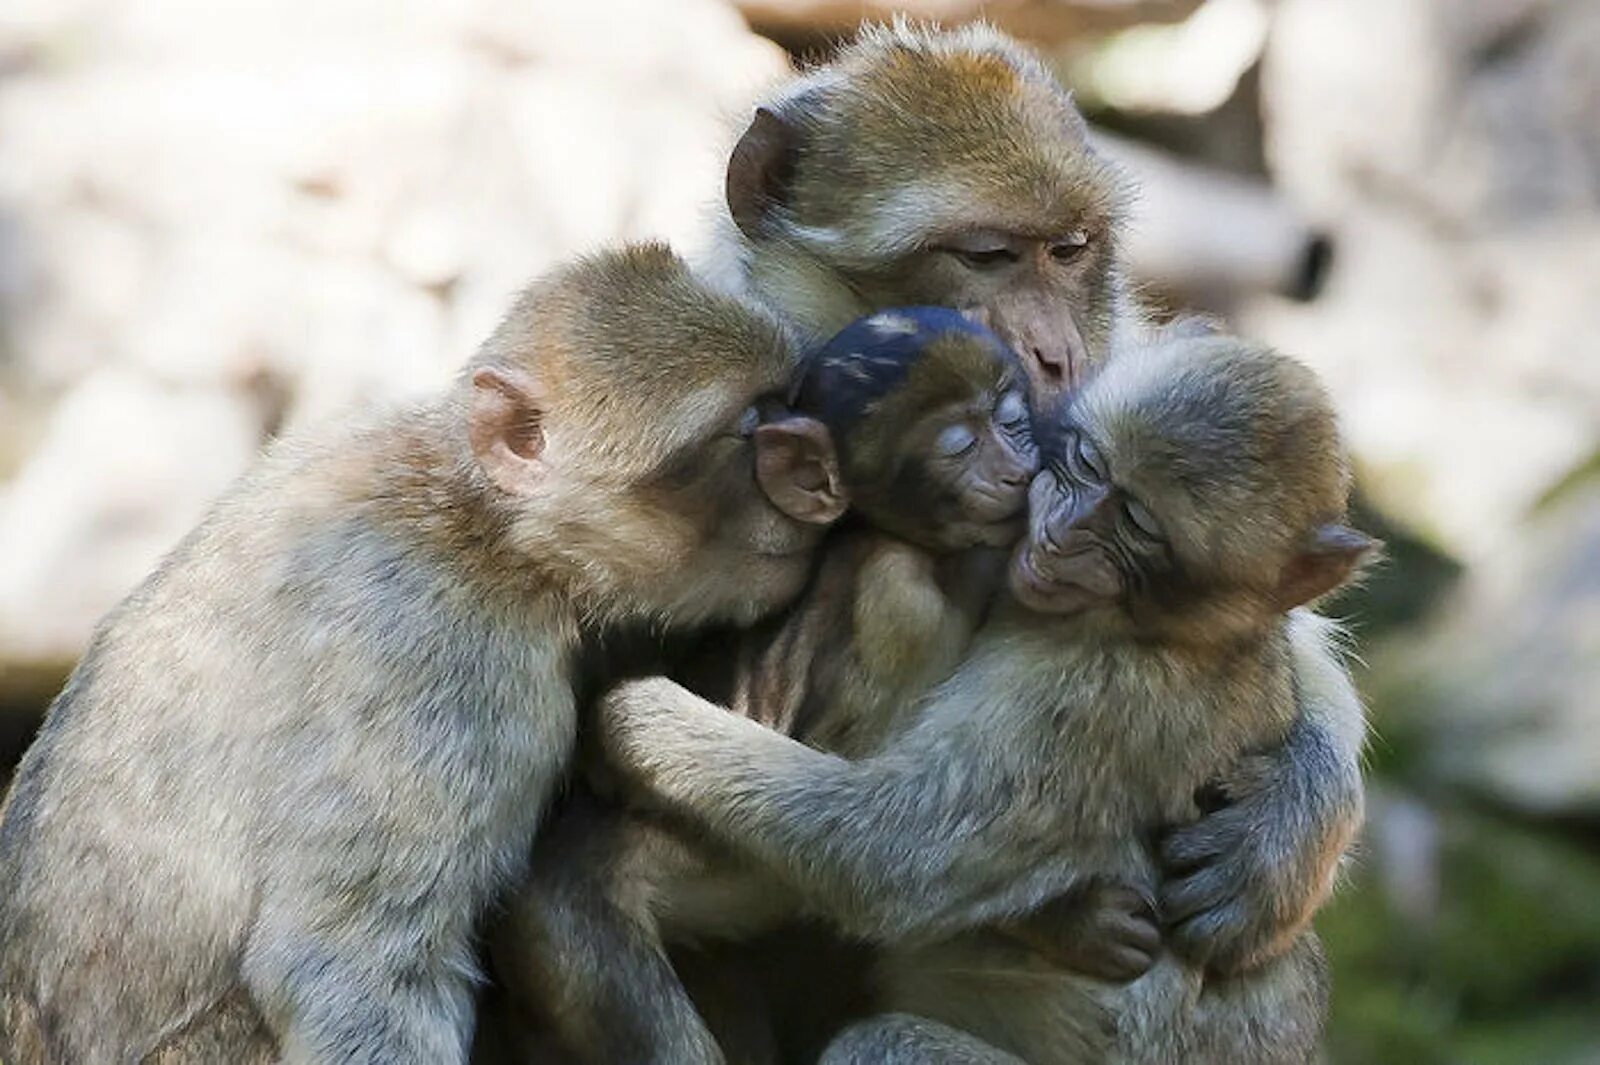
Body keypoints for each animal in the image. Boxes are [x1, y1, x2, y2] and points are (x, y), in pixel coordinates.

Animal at [0, 243, 851, 1061]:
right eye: (750, 426)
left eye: (789, 401)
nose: (817, 482)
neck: (490, 530)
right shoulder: (441, 663)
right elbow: (354, 966)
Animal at [496, 305, 1049, 1061]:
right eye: (959, 444)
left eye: (1011, 418)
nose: (1014, 470)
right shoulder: (897, 591)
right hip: (742, 877)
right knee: (580, 896)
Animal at [598, 327, 1376, 1055]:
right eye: (1088, 464)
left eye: (1138, 525)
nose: (1061, 532)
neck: (1172, 633)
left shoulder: (1096, 701)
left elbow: (888, 856)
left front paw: (632, 715)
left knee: (878, 1041)